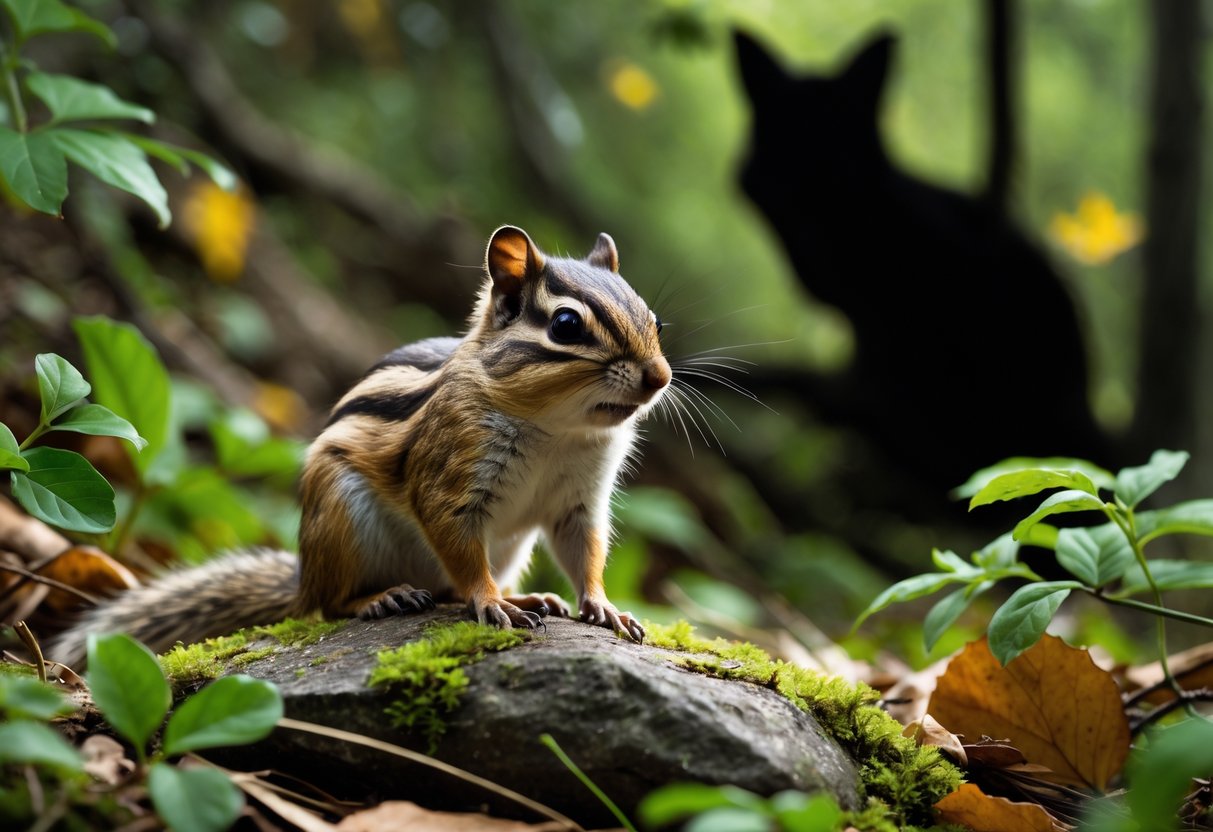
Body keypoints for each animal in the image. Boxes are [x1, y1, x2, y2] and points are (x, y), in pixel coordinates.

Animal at [49, 226, 671, 667]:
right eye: (566, 325)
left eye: (655, 319)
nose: (660, 377)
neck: (556, 430)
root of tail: (304, 577)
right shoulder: (451, 478)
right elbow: (459, 546)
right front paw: (491, 602)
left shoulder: (579, 501)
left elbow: (584, 552)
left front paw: (603, 606)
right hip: (341, 519)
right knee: (334, 604)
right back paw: (383, 598)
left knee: (445, 588)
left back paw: (527, 598)